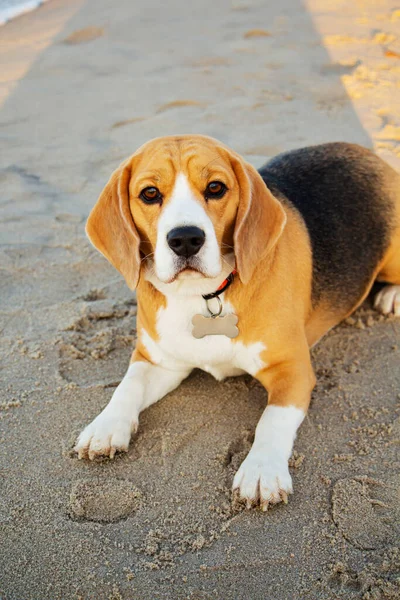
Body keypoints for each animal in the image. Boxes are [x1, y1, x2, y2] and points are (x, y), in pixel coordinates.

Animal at [74, 136, 400, 510]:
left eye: (216, 187)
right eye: (150, 193)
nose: (185, 239)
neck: (204, 295)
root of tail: (369, 153)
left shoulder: (293, 369)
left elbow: (272, 420)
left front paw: (261, 469)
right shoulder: (157, 361)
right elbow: (127, 386)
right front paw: (105, 426)